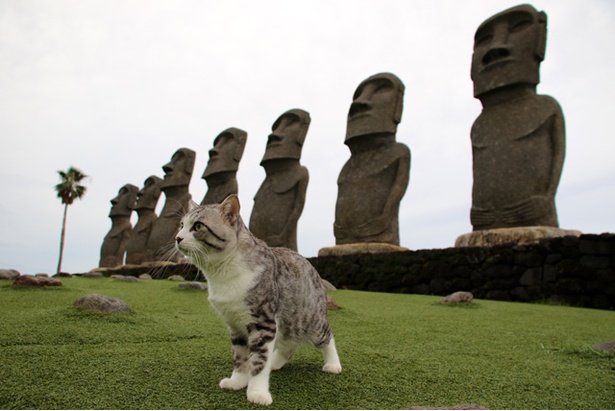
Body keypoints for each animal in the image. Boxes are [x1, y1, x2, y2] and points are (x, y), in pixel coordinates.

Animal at [174, 196, 342, 406]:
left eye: (197, 226)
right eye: (181, 225)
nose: (177, 238)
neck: (221, 273)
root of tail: (309, 264)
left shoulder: (263, 322)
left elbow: (259, 361)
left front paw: (257, 393)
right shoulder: (235, 325)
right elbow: (240, 358)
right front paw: (237, 381)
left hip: (308, 319)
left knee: (326, 336)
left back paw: (333, 364)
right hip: (288, 320)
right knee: (288, 344)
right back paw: (275, 363)